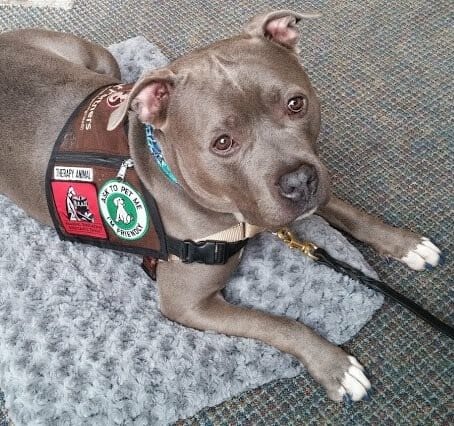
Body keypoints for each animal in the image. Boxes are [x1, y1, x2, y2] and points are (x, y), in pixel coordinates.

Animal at [0, 10, 440, 402]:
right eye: (223, 143)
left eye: (296, 104)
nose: (299, 181)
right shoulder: (188, 303)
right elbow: (278, 323)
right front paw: (335, 365)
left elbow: (346, 209)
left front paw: (404, 244)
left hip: (103, 63)